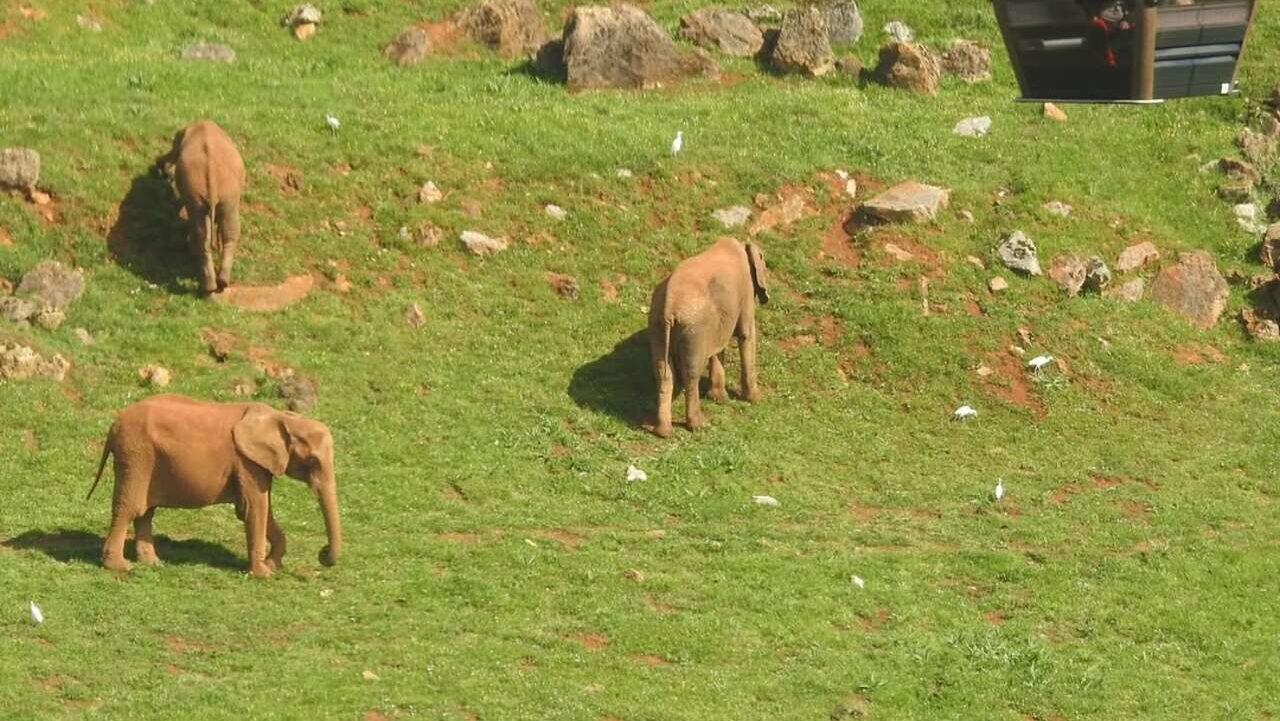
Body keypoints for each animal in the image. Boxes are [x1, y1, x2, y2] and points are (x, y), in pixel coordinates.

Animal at [86, 394, 341, 577]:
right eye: (313, 461)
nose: (322, 553)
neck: (283, 417)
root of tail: (114, 425)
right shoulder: (246, 462)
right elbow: (254, 508)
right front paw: (263, 574)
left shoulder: (258, 464)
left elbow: (263, 509)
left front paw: (272, 566)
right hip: (136, 456)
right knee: (130, 508)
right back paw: (121, 568)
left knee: (145, 512)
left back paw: (153, 563)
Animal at [153, 120, 245, 295]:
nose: (160, 170)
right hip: (224, 193)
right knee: (226, 229)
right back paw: (220, 283)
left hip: (199, 189)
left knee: (203, 233)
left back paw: (208, 286)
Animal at [648, 237, 769, 438]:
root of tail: (669, 305)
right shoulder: (745, 291)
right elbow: (747, 334)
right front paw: (756, 399)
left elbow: (718, 346)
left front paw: (719, 398)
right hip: (693, 329)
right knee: (691, 373)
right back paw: (699, 425)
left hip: (657, 324)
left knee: (663, 372)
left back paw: (662, 432)